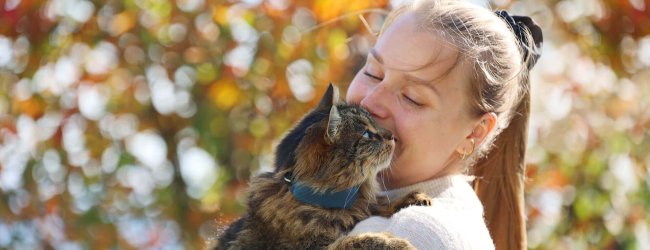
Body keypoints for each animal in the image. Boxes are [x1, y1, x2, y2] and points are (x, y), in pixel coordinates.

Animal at [215, 84, 428, 250]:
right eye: (367, 134)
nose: (391, 135)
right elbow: (353, 241)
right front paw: (395, 242)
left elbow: (378, 203)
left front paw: (414, 198)